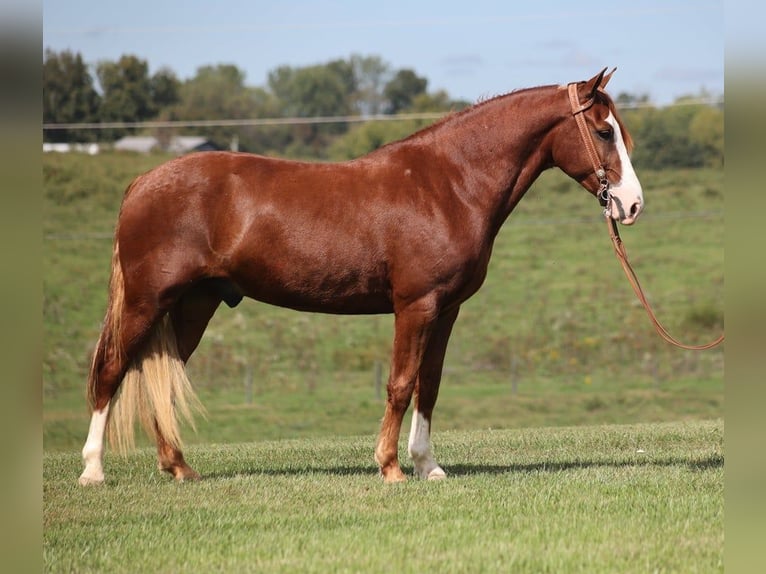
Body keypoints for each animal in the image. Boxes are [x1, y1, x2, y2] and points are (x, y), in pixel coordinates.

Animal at [78, 68, 643, 485]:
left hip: (195, 304)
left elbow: (429, 384)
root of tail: (142, 182)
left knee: (158, 376)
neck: (449, 183)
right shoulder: (415, 305)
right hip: (147, 301)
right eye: (602, 131)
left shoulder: (447, 309)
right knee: (110, 368)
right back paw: (93, 471)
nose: (632, 204)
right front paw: (390, 467)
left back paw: (179, 467)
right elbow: (400, 383)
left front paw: (428, 466)